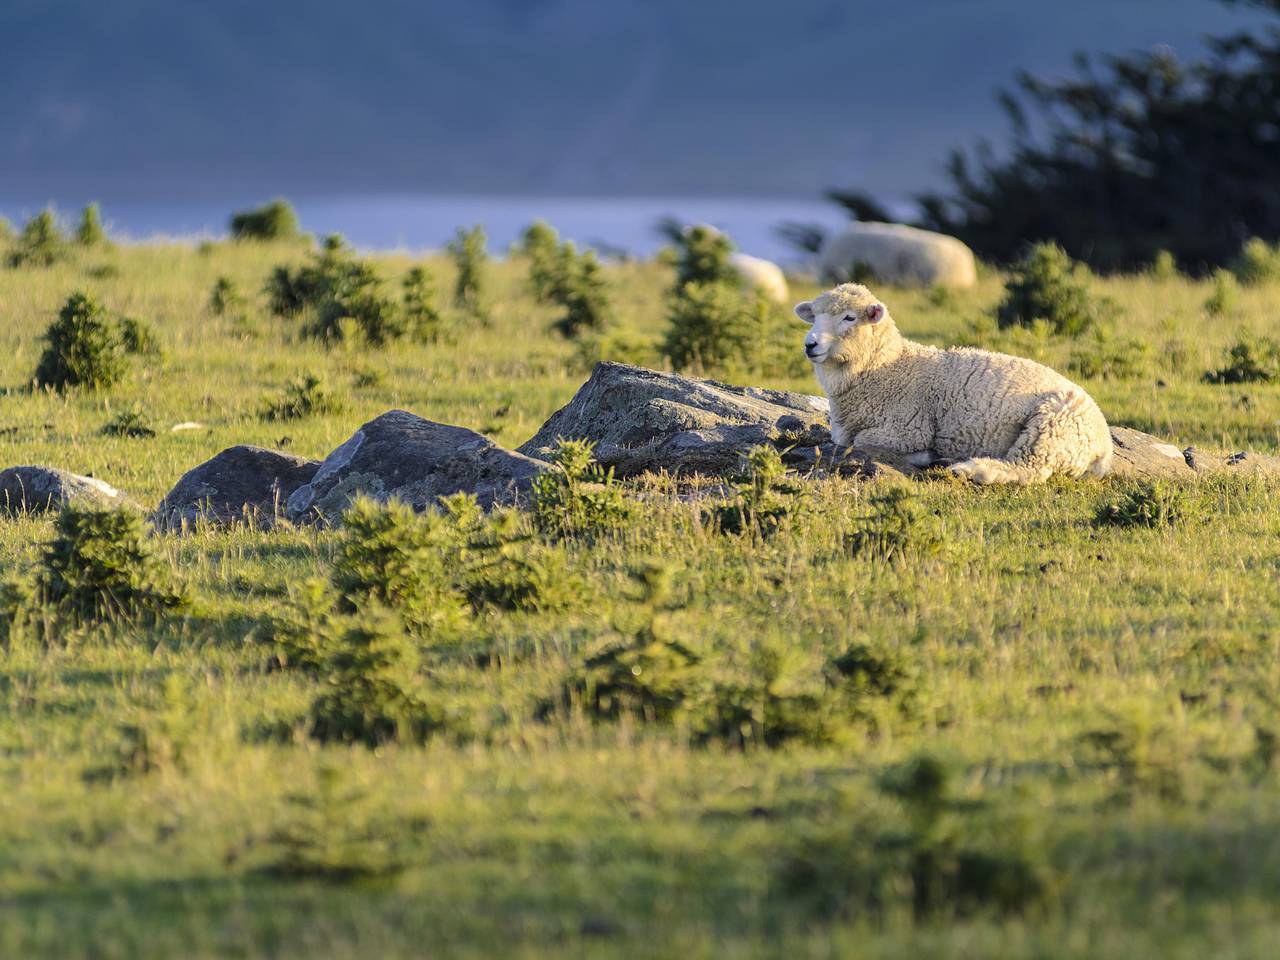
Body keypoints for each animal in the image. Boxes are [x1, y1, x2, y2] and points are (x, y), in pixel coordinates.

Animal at [798, 281, 1111, 483]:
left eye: (849, 318)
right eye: (815, 316)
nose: (810, 344)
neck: (888, 368)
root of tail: (1104, 446)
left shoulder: (909, 428)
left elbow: (861, 440)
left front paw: (924, 456)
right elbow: (846, 439)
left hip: (1052, 426)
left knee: (1028, 469)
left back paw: (970, 469)